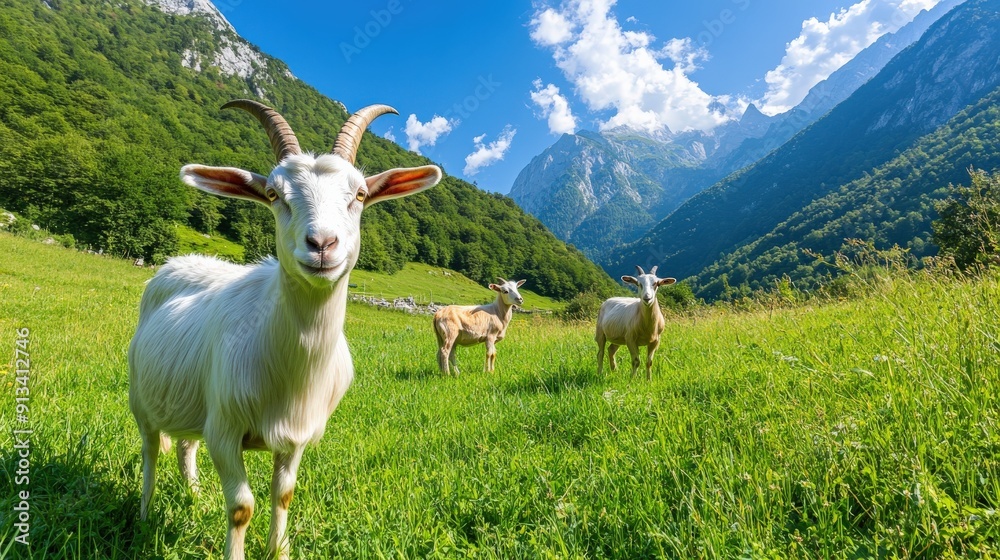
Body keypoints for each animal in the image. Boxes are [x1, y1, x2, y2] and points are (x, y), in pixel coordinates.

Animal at [127, 100, 441, 560]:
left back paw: (195, 497)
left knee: (185, 444)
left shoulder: (296, 437)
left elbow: (284, 495)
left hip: (194, 402)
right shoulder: (225, 430)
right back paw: (146, 513)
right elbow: (242, 507)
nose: (322, 244)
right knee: (151, 451)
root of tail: (176, 262)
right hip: (141, 397)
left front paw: (280, 550)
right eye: (274, 195)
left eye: (360, 195)